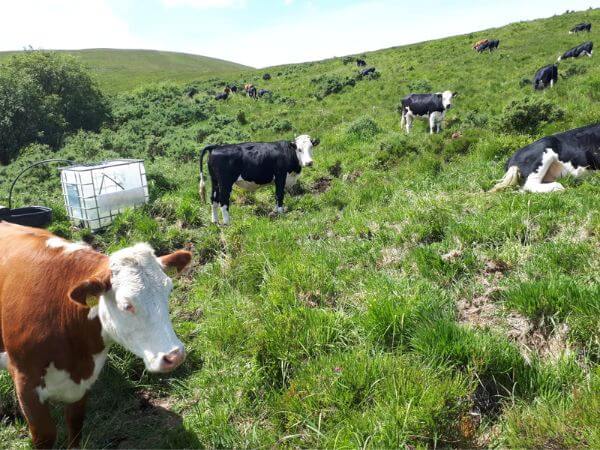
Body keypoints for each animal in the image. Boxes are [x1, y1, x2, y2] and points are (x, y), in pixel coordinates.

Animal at [0, 223, 192, 448]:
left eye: (169, 291)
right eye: (126, 304)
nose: (175, 355)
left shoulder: (83, 382)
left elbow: (75, 424)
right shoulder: (26, 384)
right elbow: (45, 436)